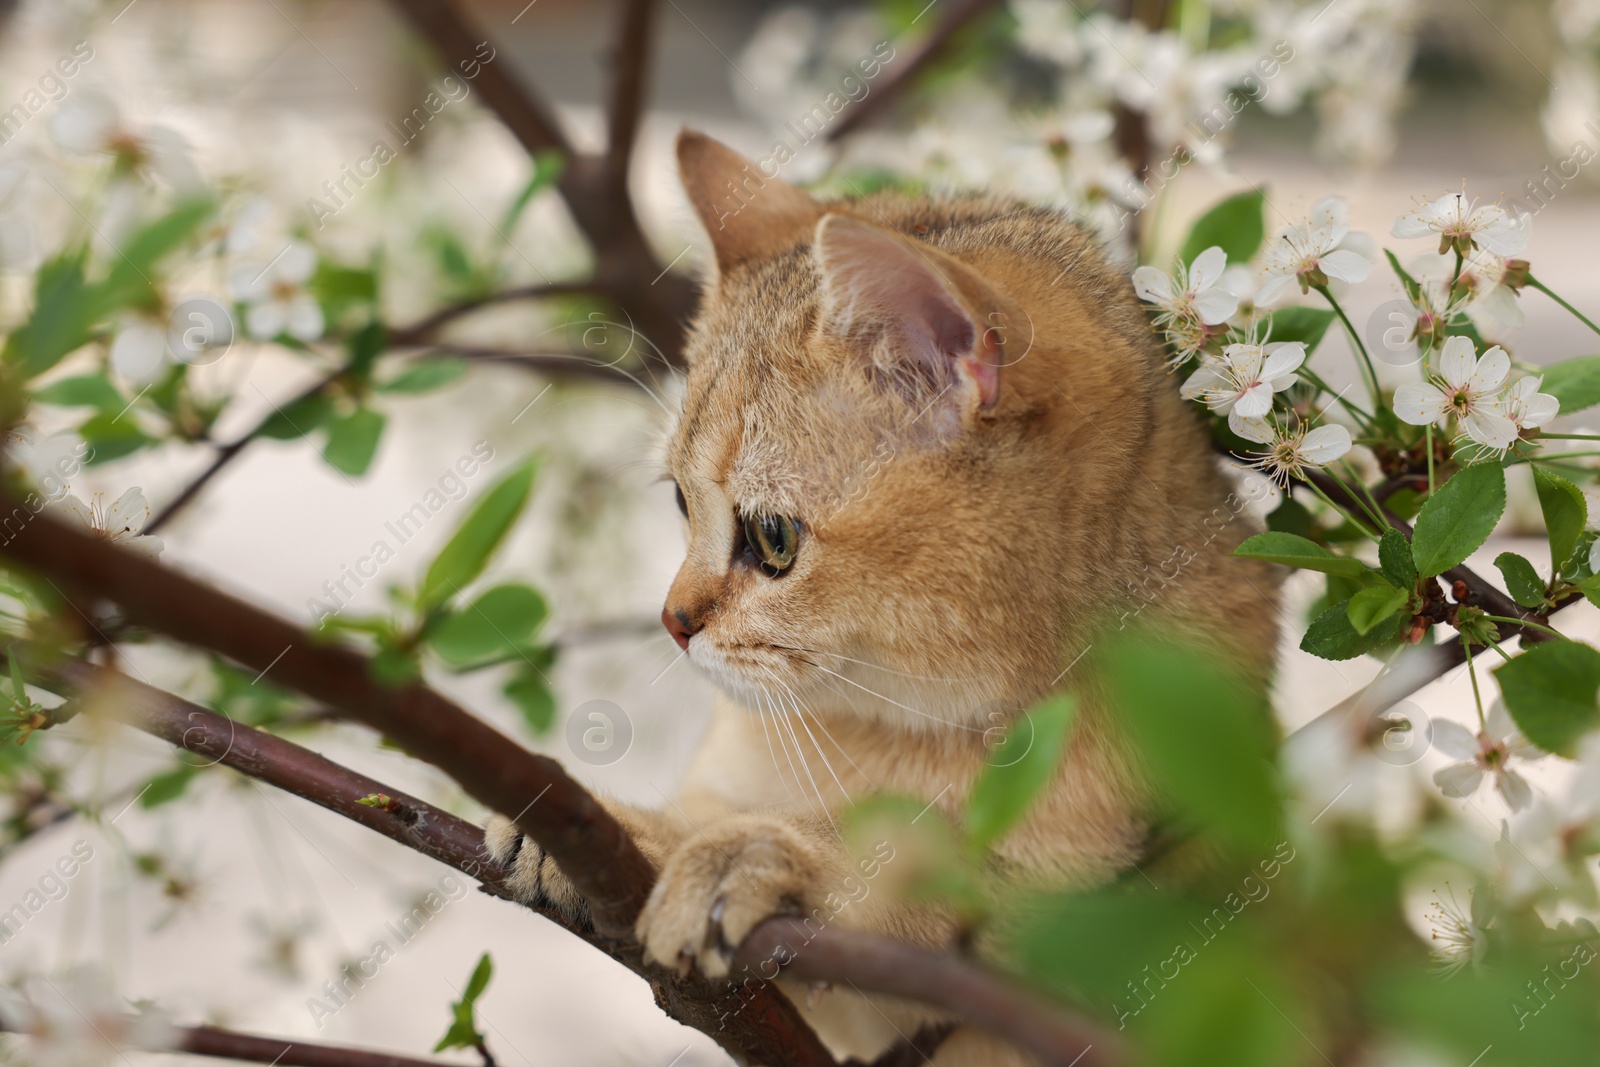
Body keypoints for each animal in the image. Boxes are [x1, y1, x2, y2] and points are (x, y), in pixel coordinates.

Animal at [480, 129, 1280, 1062]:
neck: (908, 731)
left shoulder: (1061, 933)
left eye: (773, 538)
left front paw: (752, 856)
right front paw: (618, 826)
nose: (673, 621)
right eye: (679, 501)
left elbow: (902, 876)